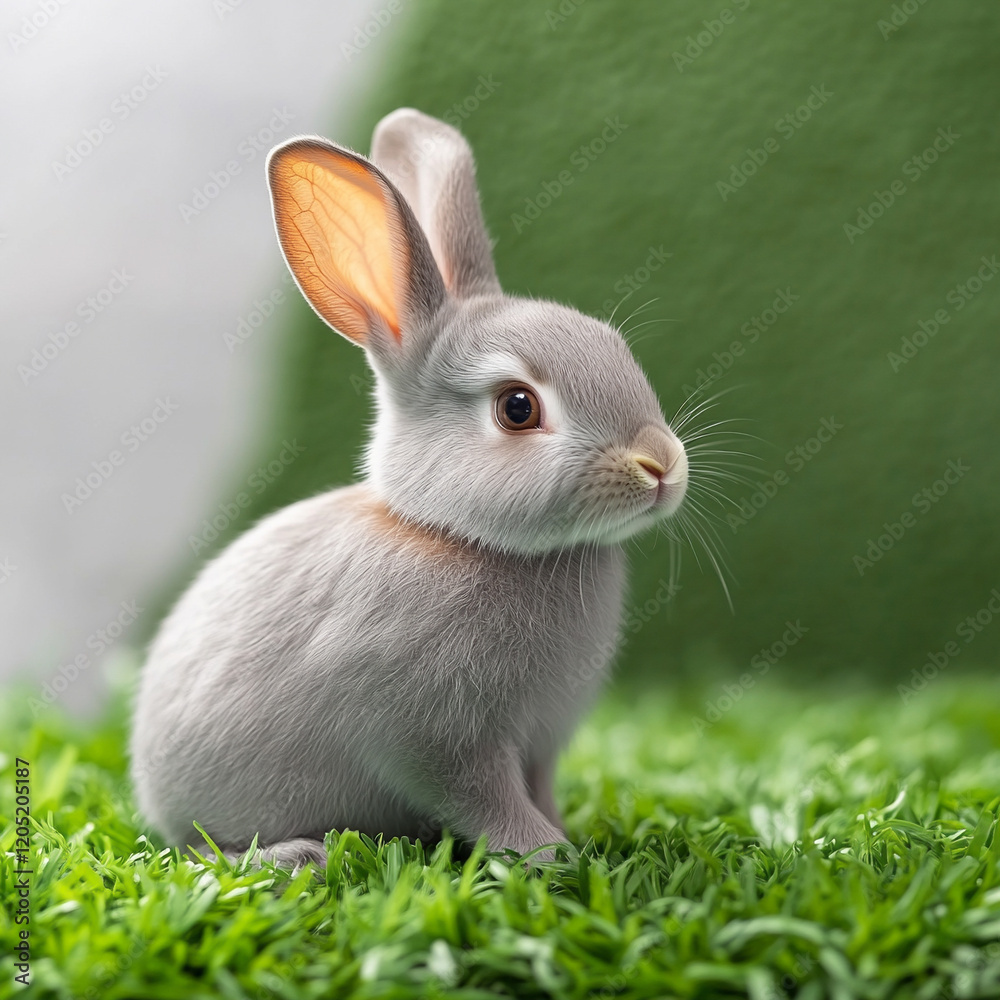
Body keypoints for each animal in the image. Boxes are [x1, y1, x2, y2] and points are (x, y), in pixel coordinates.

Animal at [129, 108, 688, 870]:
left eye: (613, 344)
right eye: (518, 407)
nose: (661, 465)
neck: (458, 537)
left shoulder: (540, 741)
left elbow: (538, 788)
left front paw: (567, 837)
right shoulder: (441, 741)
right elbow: (485, 798)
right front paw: (547, 855)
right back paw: (299, 855)